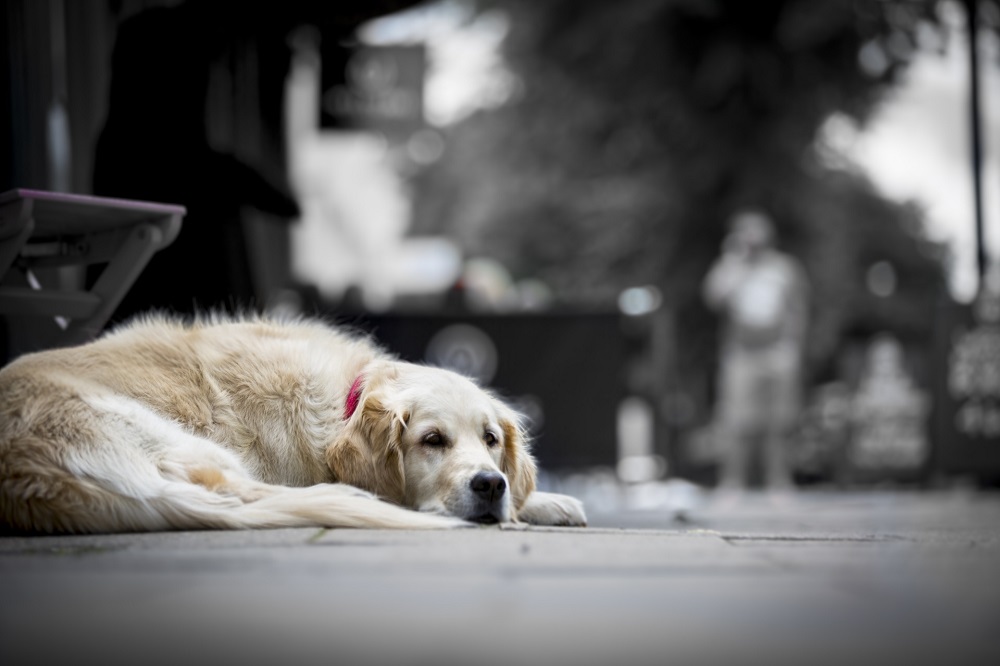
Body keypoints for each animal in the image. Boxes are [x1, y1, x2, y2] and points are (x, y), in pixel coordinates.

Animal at [0, 314, 584, 532]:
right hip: (164, 437)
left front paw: (547, 501)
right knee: (238, 492)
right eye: (432, 440)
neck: (346, 401)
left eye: (490, 440)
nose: (489, 484)